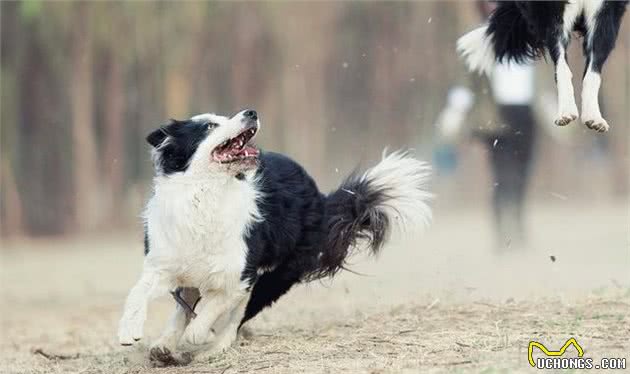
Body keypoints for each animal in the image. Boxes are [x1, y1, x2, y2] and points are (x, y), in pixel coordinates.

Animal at [117, 109, 434, 366]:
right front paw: (129, 329)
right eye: (208, 126)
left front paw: (199, 337)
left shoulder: (240, 275)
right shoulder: (164, 260)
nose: (251, 112)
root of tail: (320, 197)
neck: (206, 194)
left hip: (278, 274)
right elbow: (138, 292)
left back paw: (213, 347)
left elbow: (213, 309)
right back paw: (164, 346)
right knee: (186, 307)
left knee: (237, 315)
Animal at [460, 0, 628, 133]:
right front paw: (566, 112)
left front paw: (593, 117)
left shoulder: (604, 12)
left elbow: (592, 73)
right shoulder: (553, 15)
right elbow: (564, 68)